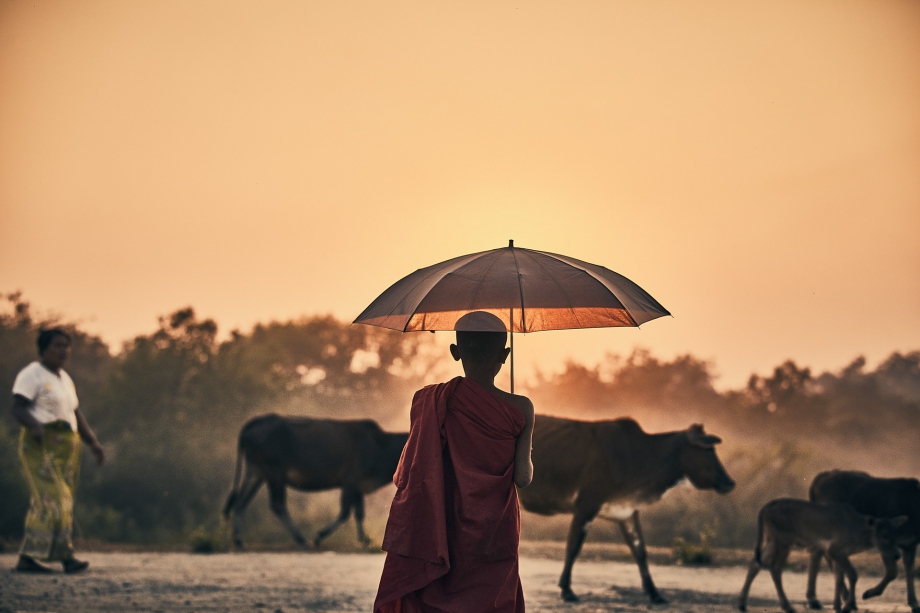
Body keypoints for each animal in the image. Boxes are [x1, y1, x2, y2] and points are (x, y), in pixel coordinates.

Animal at [221, 414, 408, 548]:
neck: (380, 446)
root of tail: (255, 422)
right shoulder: (351, 480)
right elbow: (345, 512)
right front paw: (320, 536)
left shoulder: (358, 486)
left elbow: (359, 513)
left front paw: (364, 539)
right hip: (275, 473)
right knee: (277, 505)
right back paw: (301, 539)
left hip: (256, 472)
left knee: (241, 501)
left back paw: (238, 539)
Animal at [516, 416, 740, 604]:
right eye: (708, 450)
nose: (729, 482)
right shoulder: (587, 503)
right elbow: (573, 546)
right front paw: (567, 590)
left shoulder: (627, 511)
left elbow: (640, 551)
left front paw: (655, 593)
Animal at [736, 498, 904, 612]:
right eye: (884, 535)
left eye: (896, 535)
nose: (897, 555)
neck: (858, 532)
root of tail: (764, 508)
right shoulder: (834, 549)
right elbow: (852, 575)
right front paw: (849, 605)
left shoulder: (839, 553)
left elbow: (838, 577)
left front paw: (838, 605)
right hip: (784, 541)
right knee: (775, 568)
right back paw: (787, 606)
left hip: (772, 540)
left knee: (755, 563)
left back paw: (742, 604)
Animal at [804, 470, 920, 608]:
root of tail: (820, 478)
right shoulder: (886, 543)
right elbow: (892, 572)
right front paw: (868, 593)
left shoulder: (910, 544)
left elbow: (910, 570)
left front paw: (913, 601)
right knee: (818, 553)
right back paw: (815, 599)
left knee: (822, 553)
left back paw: (841, 596)